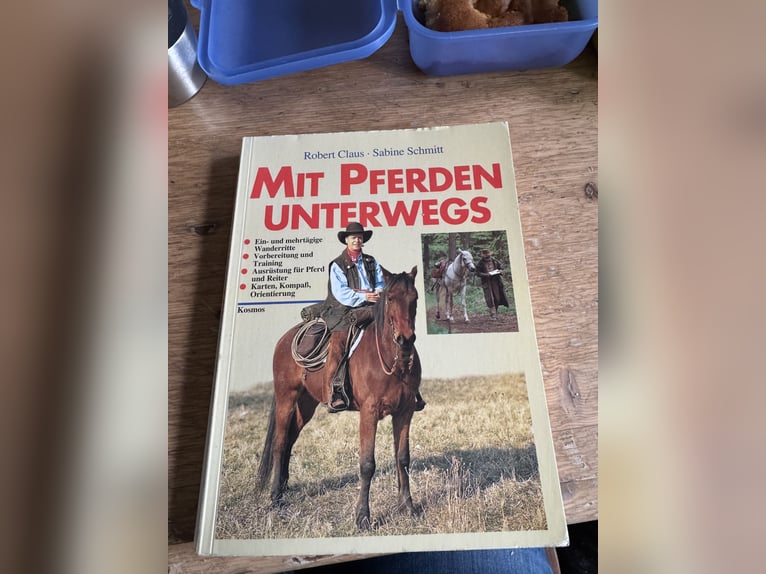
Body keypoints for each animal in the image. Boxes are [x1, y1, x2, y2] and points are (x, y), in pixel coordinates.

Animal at [257, 267, 422, 530]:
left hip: (305, 405)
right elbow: (367, 464)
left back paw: (283, 489)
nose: (405, 339)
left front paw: (408, 507)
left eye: (414, 298)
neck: (392, 361)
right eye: (391, 298)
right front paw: (362, 517)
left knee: (290, 441)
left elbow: (403, 458)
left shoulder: (404, 412)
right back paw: (275, 499)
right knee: (280, 444)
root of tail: (284, 339)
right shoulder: (369, 413)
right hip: (286, 399)